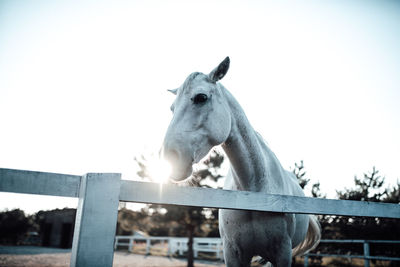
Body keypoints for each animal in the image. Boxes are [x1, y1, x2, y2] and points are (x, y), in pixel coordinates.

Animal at [161, 57, 320, 266]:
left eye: (201, 97)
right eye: (171, 108)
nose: (168, 157)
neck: (254, 193)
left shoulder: (282, 253)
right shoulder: (233, 253)